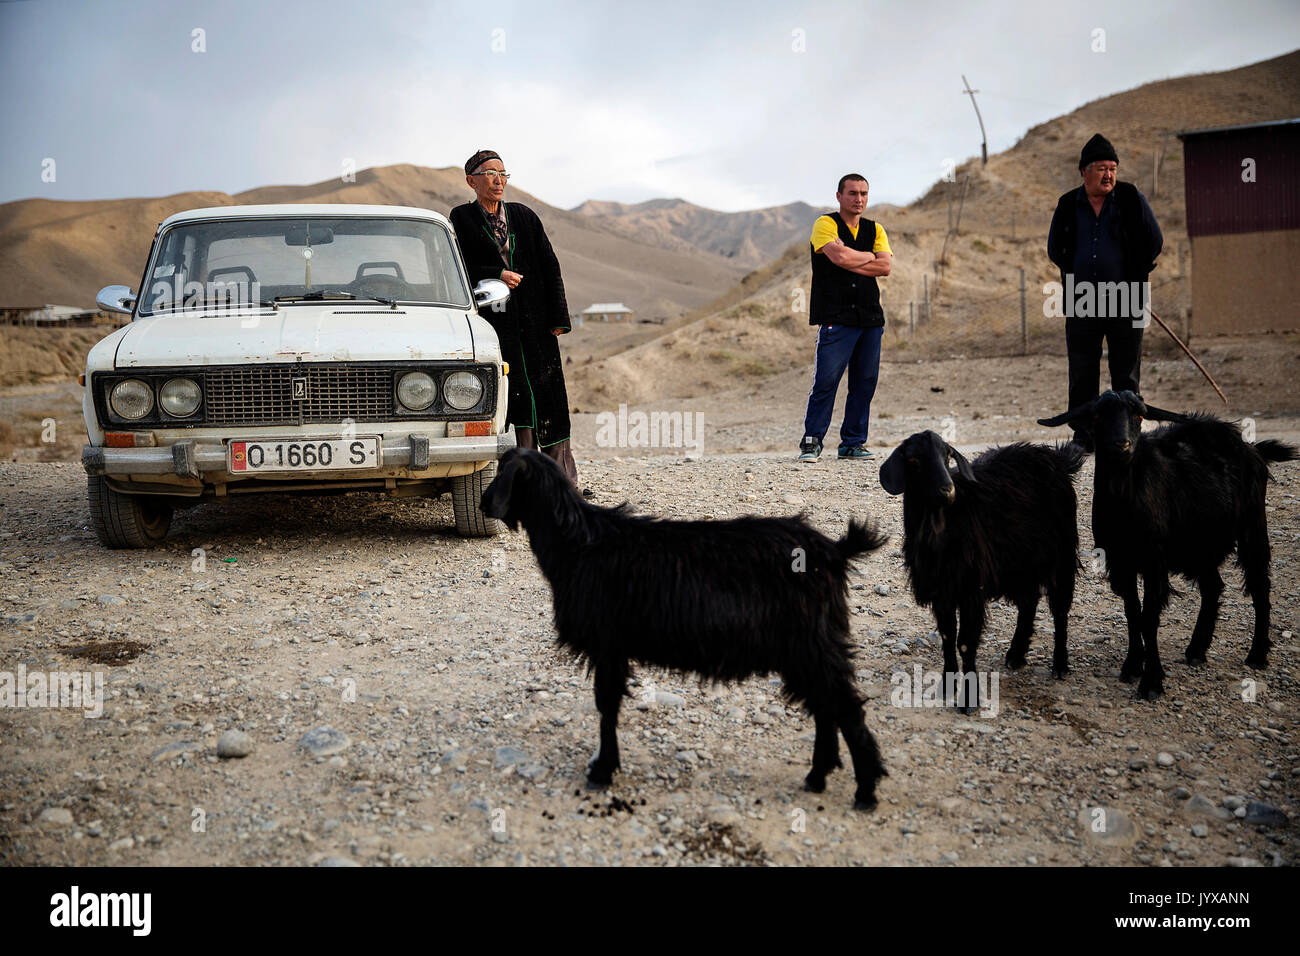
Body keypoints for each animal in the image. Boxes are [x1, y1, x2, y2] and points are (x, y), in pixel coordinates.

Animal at [480, 452, 894, 811]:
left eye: (502, 473)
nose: (484, 504)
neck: (578, 544)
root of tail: (834, 551)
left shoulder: (608, 645)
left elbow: (606, 706)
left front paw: (602, 770)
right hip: (804, 649)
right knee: (826, 708)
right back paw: (817, 776)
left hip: (812, 644)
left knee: (845, 708)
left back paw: (865, 791)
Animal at [878, 434, 1081, 712]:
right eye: (914, 460)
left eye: (947, 456)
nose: (947, 489)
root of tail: (1055, 457)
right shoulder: (942, 589)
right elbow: (947, 635)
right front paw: (946, 686)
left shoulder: (970, 588)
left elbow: (965, 642)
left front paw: (968, 700)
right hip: (1021, 562)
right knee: (1029, 602)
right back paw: (1016, 654)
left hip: (1061, 555)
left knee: (1059, 610)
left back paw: (1059, 665)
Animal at [1034, 390, 1300, 702]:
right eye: (1099, 415)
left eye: (1138, 416)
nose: (1122, 444)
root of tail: (1251, 449)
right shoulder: (1121, 562)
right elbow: (1132, 613)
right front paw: (1132, 666)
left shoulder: (1154, 562)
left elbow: (1149, 618)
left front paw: (1151, 682)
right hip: (1200, 547)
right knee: (1213, 587)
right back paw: (1197, 650)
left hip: (1253, 527)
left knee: (1259, 585)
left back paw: (1257, 655)